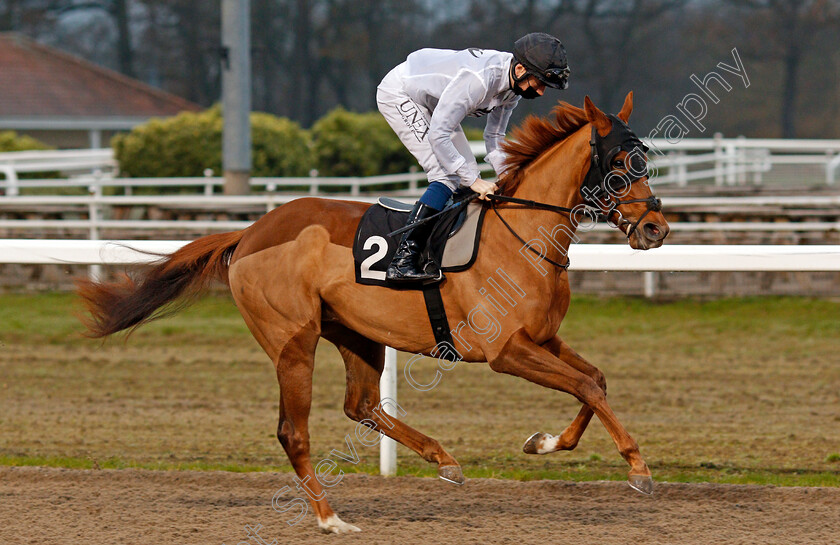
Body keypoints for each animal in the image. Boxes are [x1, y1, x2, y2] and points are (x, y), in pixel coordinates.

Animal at [79, 92, 668, 532]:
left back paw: (443, 461)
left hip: (356, 333)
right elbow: (586, 385)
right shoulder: (507, 350)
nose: (655, 228)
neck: (522, 236)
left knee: (361, 405)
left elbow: (595, 380)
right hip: (293, 340)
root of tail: (249, 233)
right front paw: (638, 467)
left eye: (646, 160)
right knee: (293, 430)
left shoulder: (542, 338)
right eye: (620, 165)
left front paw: (545, 443)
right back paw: (329, 517)